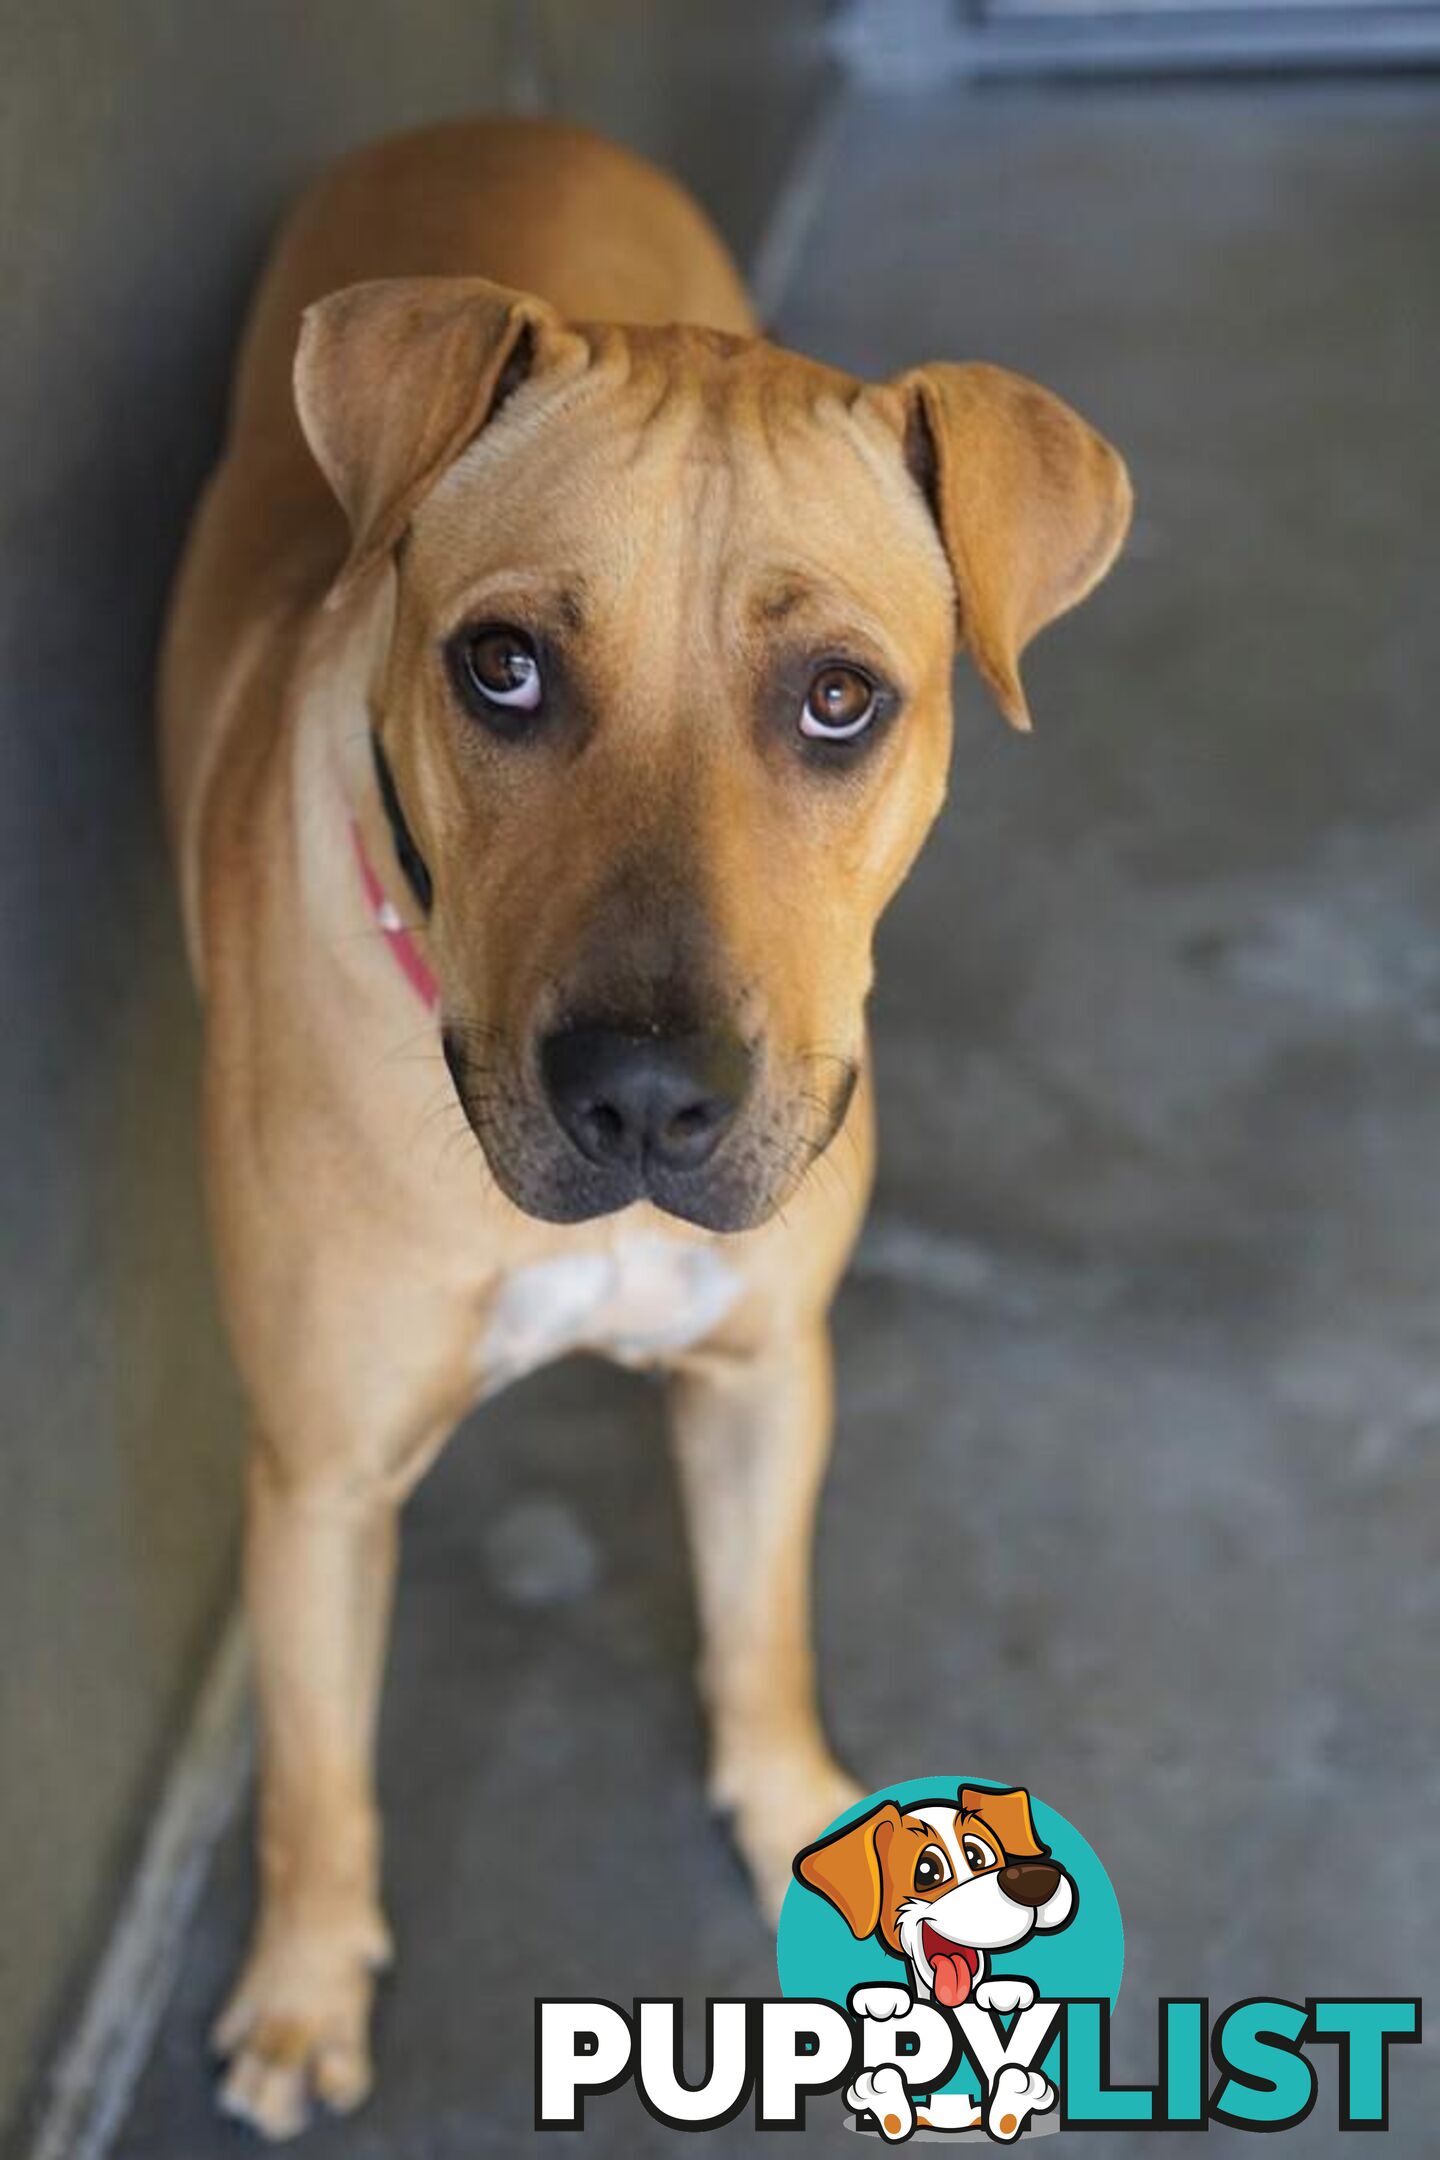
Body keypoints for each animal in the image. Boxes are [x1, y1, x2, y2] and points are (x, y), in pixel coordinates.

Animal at [162, 109, 1131, 2134]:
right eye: (503, 666)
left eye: (840, 700)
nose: (645, 1097)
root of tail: (494, 114)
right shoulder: (317, 1478)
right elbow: (314, 1772)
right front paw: (304, 1985)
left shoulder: (765, 1370)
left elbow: (760, 1634)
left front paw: (801, 1820)